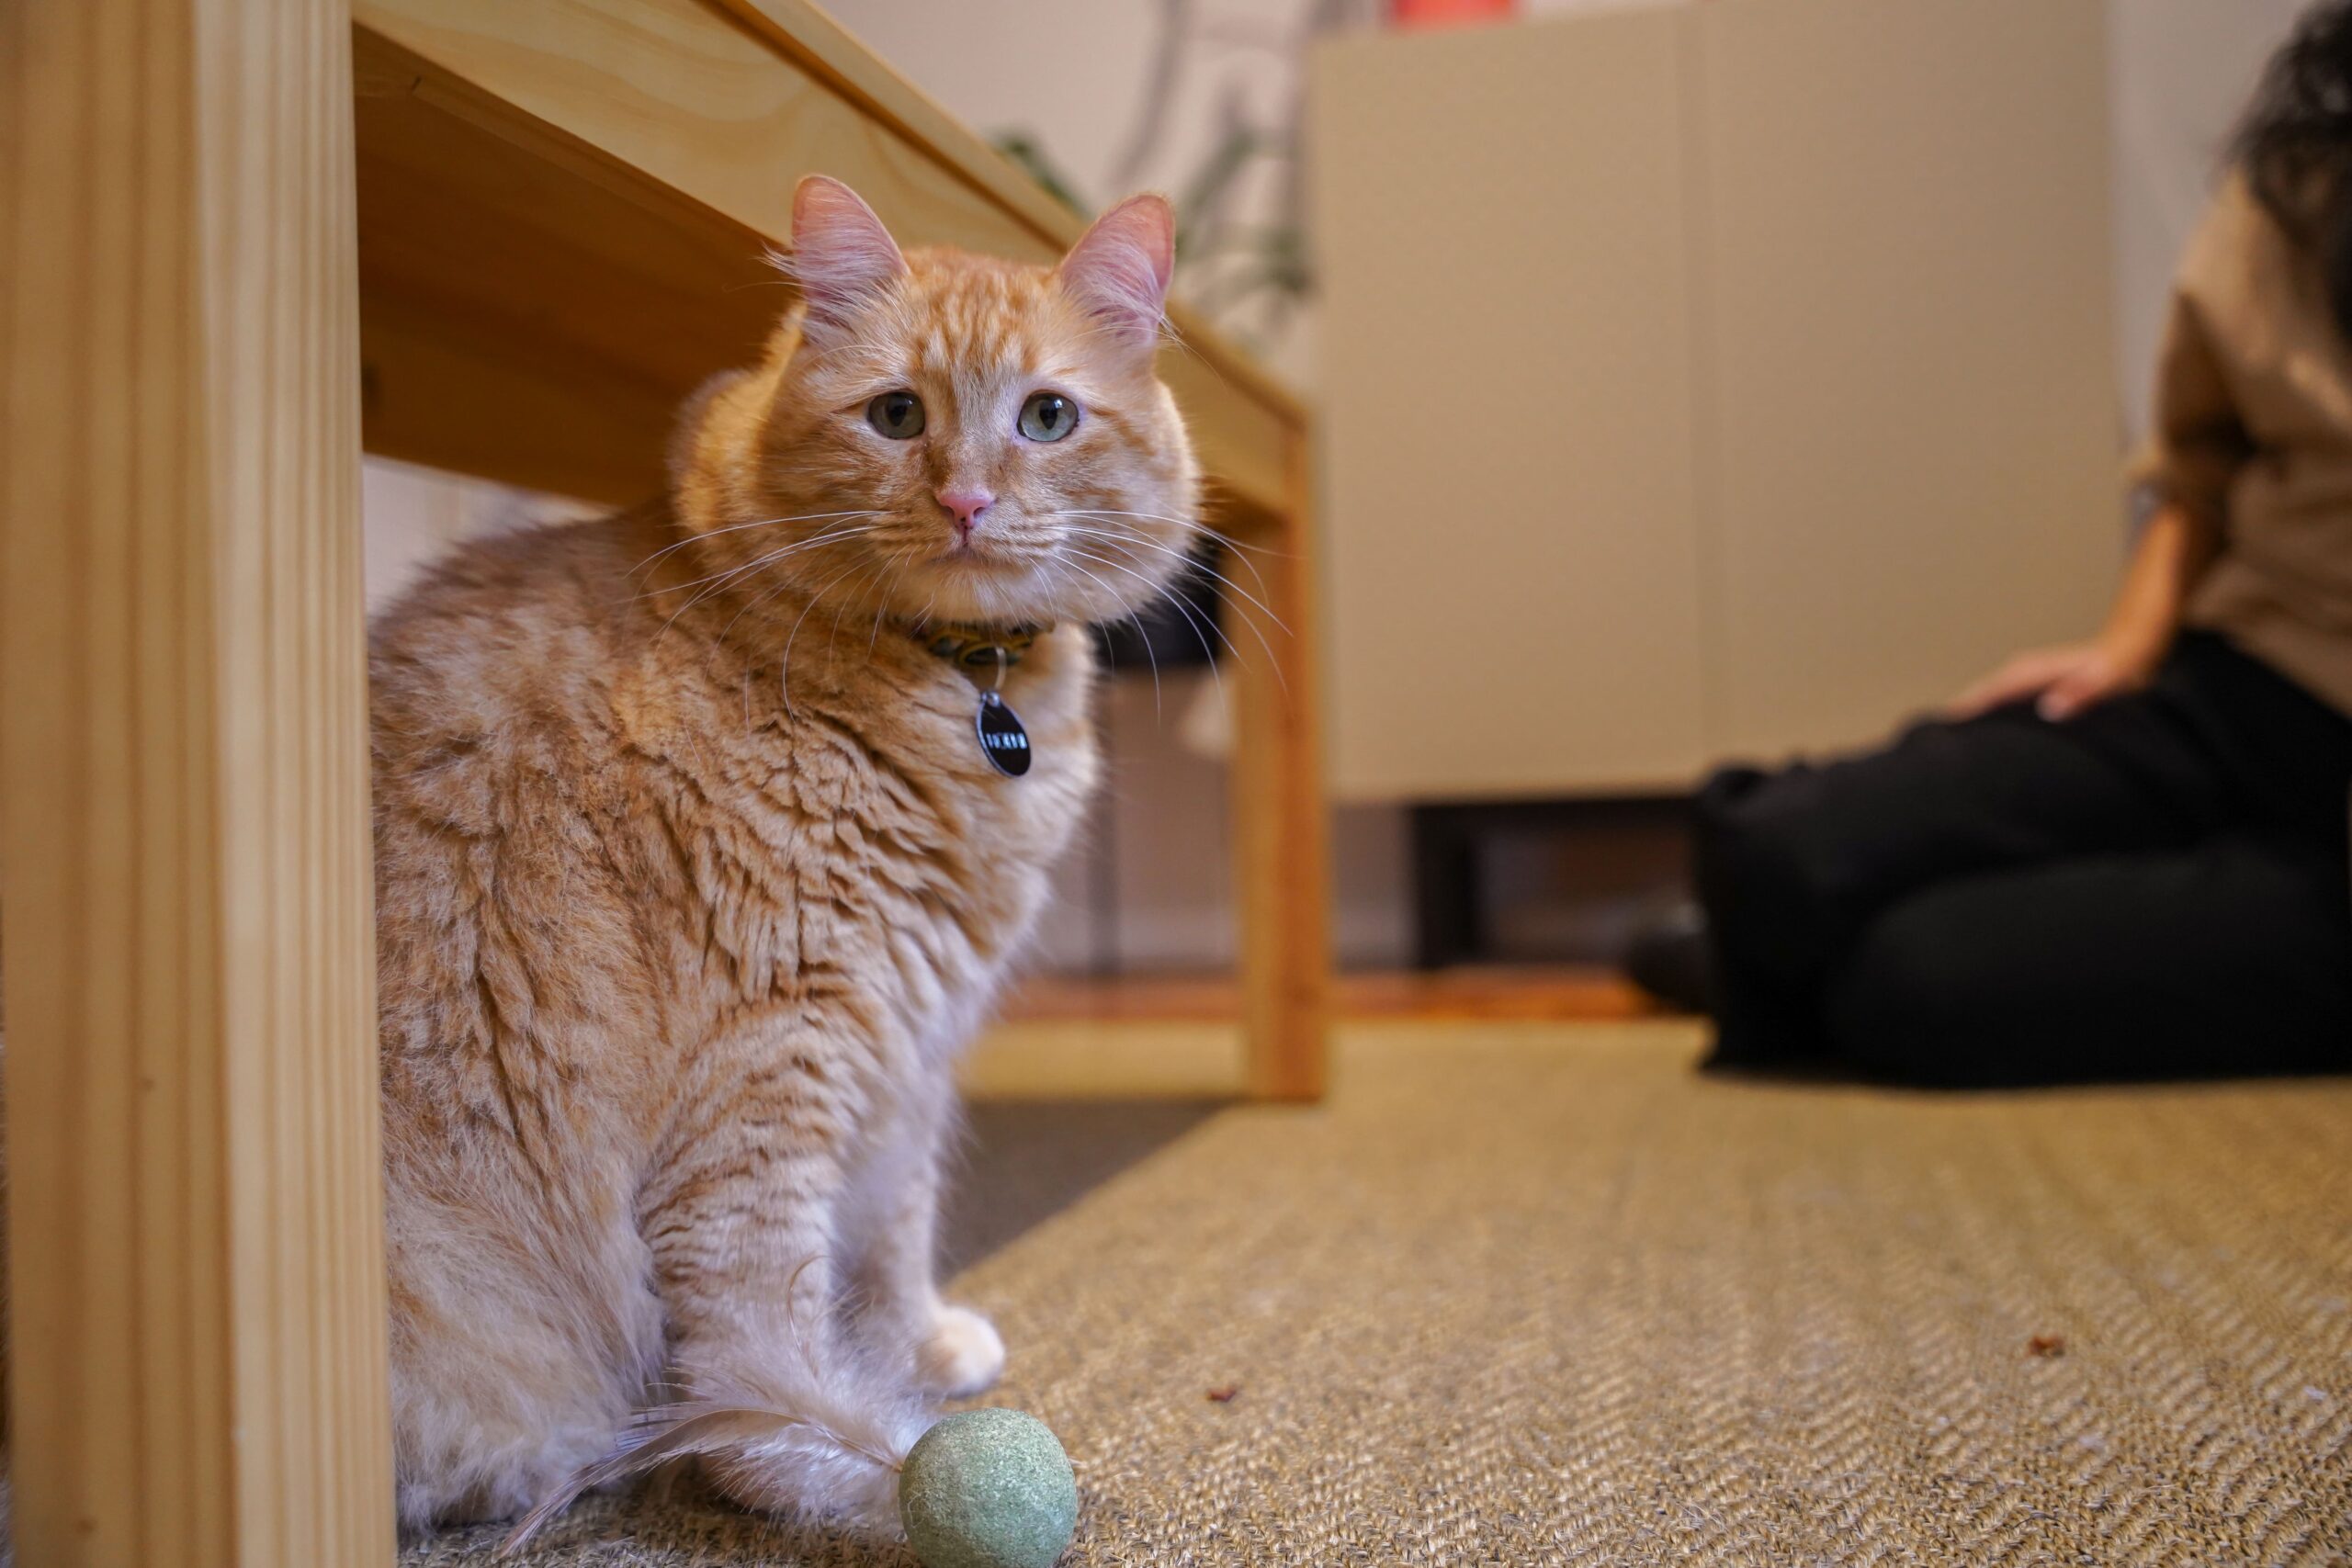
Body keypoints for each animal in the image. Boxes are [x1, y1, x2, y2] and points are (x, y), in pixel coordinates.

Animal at [374, 177, 1204, 1541]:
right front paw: (824, 1454)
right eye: (897, 415)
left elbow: (894, 1225)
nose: (966, 501)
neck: (957, 685)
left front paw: (913, 1346)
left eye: (1046, 416)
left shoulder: (910, 1038)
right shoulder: (773, 1052)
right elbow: (762, 1313)